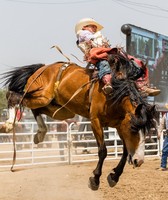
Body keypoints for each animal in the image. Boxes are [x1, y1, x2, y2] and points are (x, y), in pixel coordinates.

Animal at [1, 49, 158, 190]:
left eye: (147, 131)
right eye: (134, 128)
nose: (139, 161)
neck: (115, 93)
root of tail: (43, 67)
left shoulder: (120, 125)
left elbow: (125, 152)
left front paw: (114, 177)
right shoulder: (96, 121)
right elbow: (103, 151)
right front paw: (95, 179)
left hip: (61, 110)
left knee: (36, 109)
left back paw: (40, 133)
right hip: (42, 96)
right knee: (14, 96)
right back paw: (8, 124)